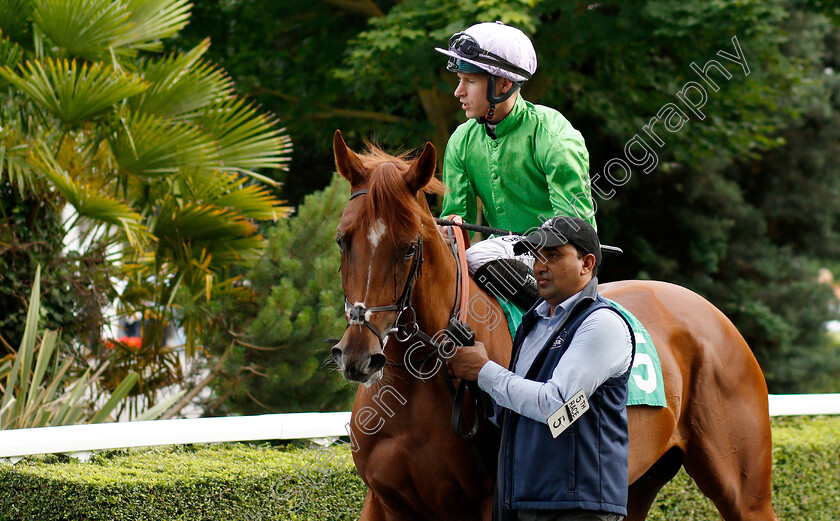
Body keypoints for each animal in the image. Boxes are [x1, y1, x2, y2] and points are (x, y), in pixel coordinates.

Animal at [332, 130, 776, 520]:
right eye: (342, 239)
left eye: (410, 247)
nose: (358, 356)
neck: (418, 385)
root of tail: (715, 316)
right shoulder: (384, 500)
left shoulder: (490, 503)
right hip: (635, 485)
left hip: (744, 487)